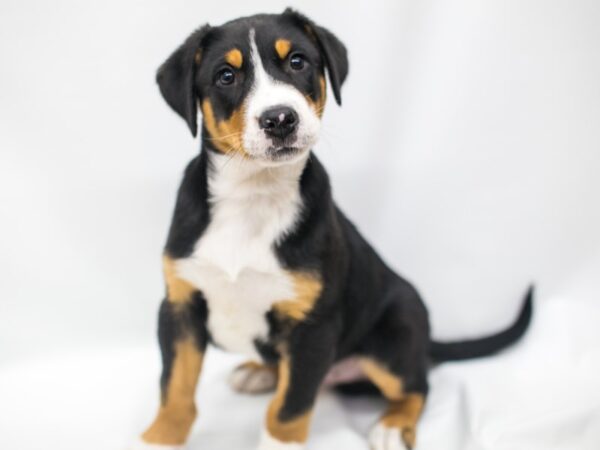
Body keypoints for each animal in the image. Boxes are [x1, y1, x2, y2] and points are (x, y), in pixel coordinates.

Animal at [137, 7, 536, 450]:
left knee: (417, 386)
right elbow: (175, 387)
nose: (280, 119)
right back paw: (259, 372)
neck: (254, 197)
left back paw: (393, 425)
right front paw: (158, 439)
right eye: (226, 75)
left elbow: (289, 408)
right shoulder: (179, 305)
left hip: (392, 338)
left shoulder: (313, 326)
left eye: (297, 61)